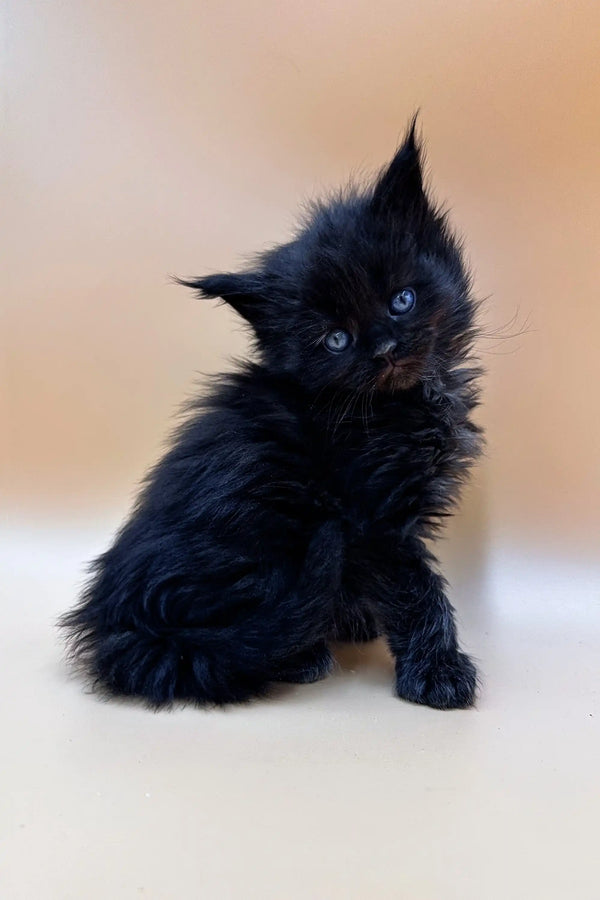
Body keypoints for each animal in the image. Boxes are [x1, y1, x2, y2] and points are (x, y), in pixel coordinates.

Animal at [59, 121, 482, 712]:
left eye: (402, 299)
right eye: (336, 339)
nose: (385, 349)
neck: (401, 404)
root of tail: (117, 624)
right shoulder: (374, 519)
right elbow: (418, 592)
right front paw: (438, 672)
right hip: (263, 528)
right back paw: (301, 654)